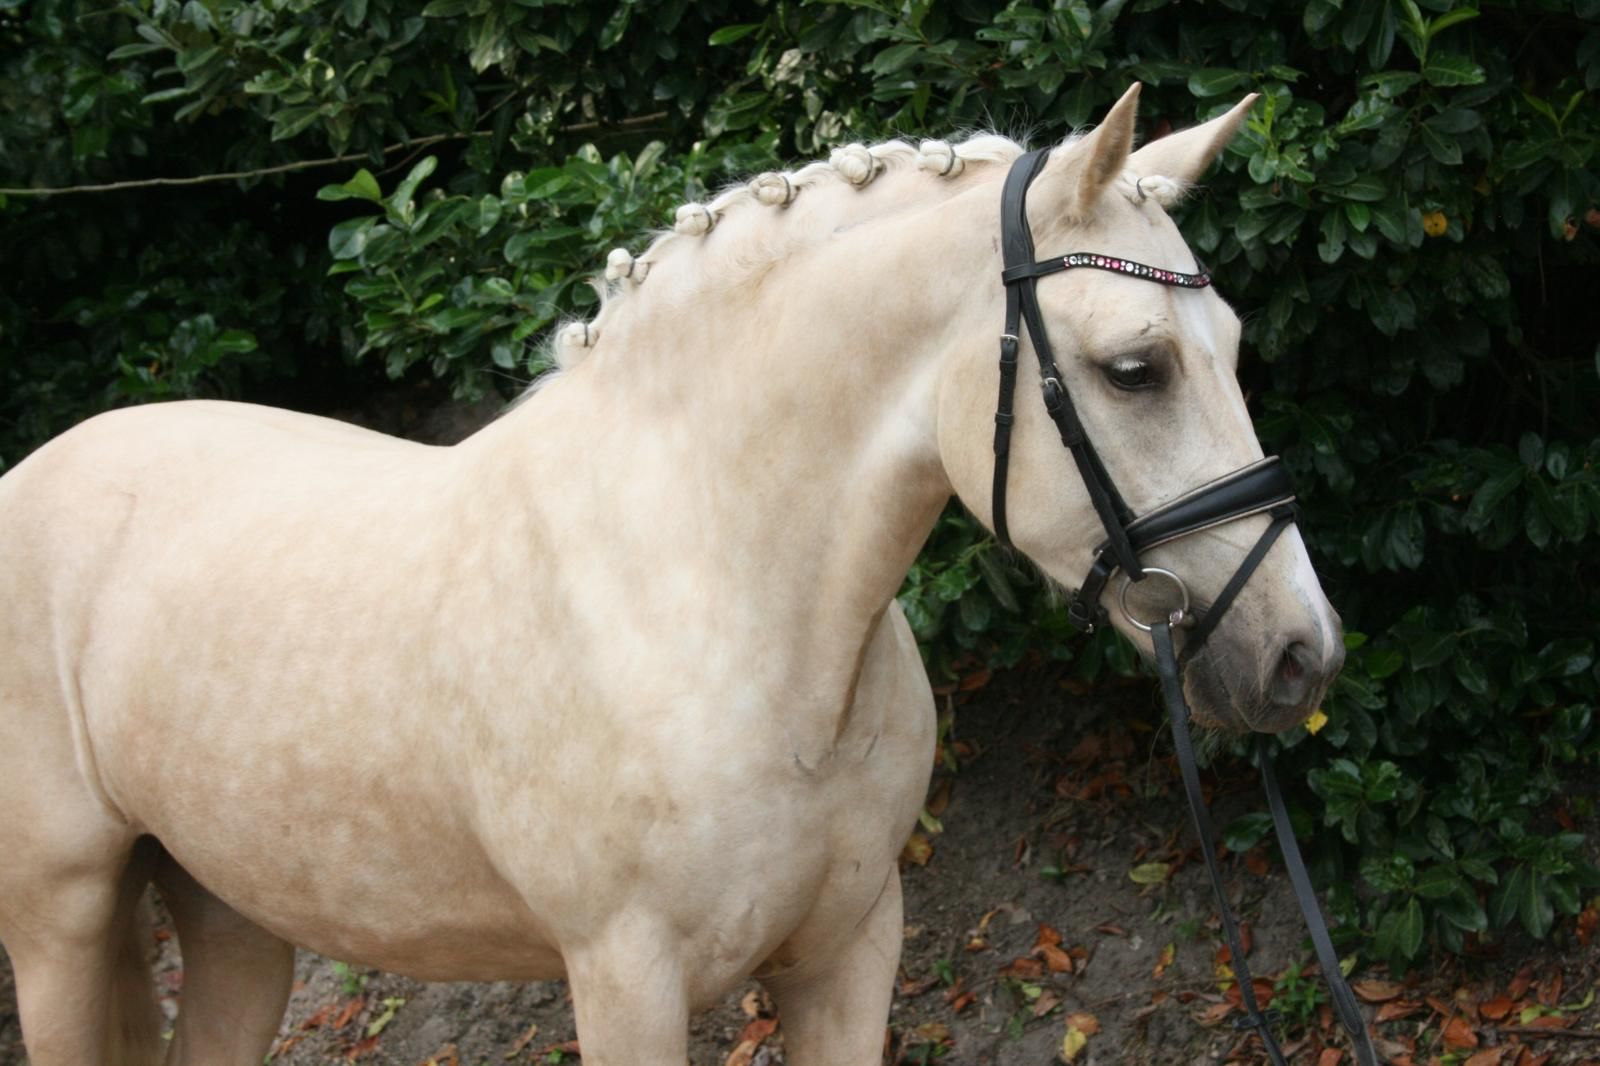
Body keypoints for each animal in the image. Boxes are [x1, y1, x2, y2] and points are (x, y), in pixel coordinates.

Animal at [0, 84, 1343, 1065]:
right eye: (1135, 368)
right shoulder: (624, 983)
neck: (709, 597)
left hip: (232, 916)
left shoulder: (850, 950)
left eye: (1232, 346)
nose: (1298, 653)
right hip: (61, 923)